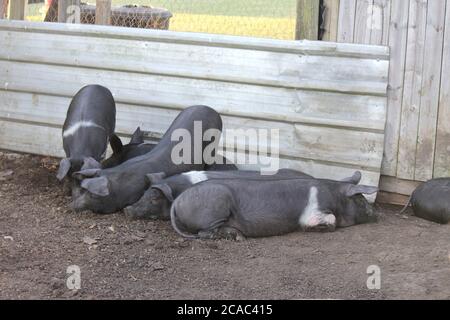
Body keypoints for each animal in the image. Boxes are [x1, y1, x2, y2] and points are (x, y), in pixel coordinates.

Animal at [171, 174, 378, 239]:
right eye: (360, 200)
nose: (376, 214)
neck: (335, 196)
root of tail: (177, 201)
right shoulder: (313, 211)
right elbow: (330, 219)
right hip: (217, 205)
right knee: (204, 233)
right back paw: (236, 237)